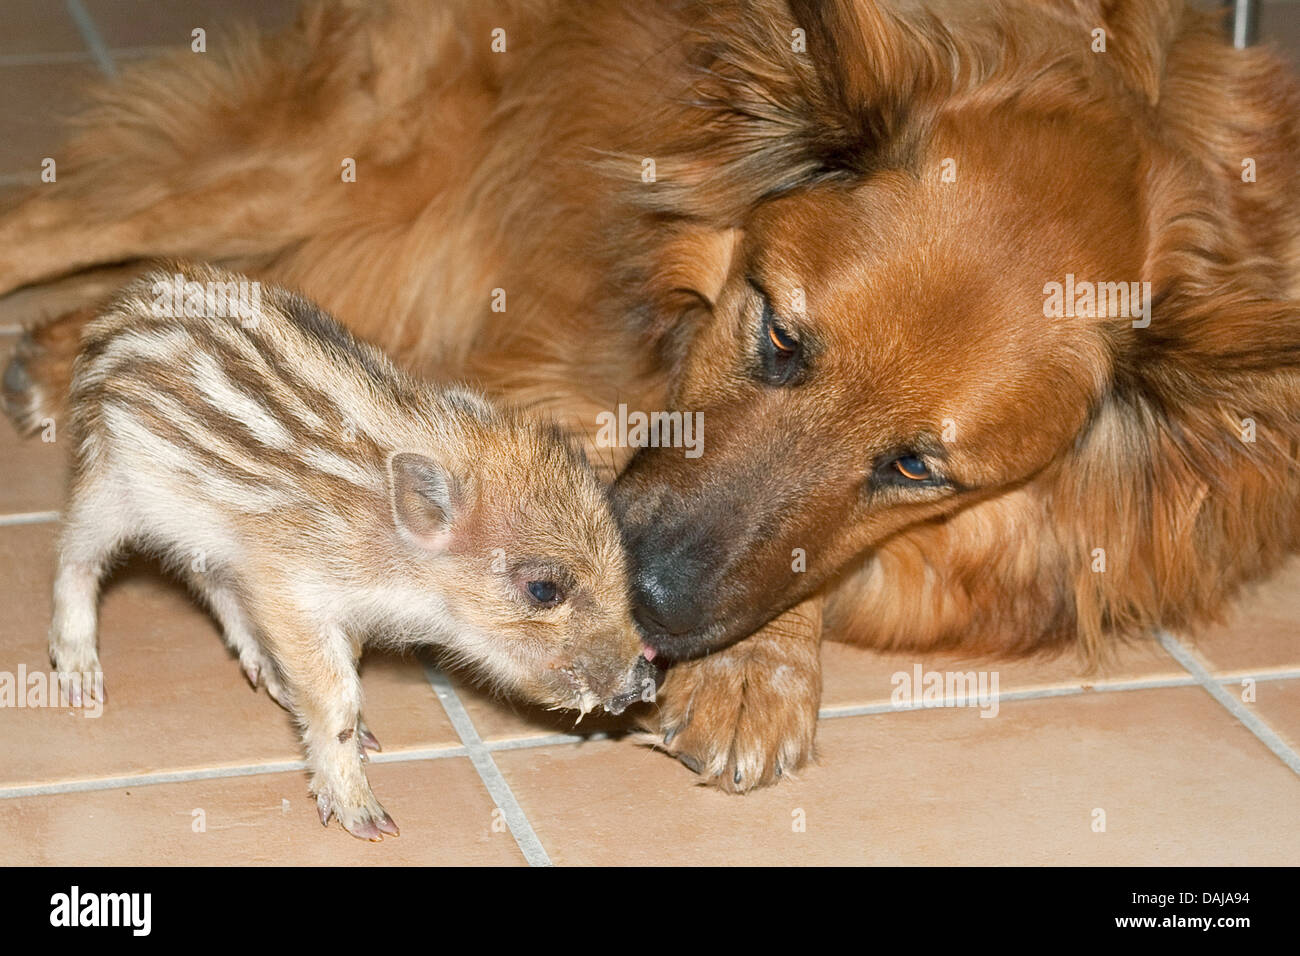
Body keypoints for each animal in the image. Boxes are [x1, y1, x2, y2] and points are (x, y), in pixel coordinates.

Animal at [2, 0, 1300, 790]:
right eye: (778, 334)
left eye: (914, 465)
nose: (656, 608)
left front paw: (756, 665)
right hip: (346, 155)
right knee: (65, 215)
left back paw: (68, 348)